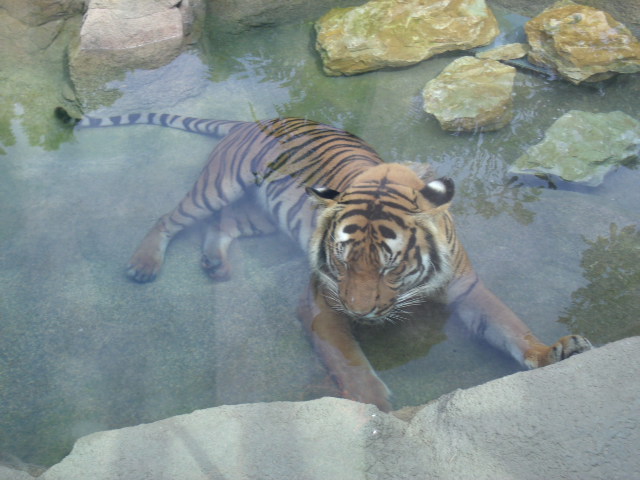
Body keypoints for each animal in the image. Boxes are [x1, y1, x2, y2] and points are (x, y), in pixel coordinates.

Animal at [56, 107, 592, 412]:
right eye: (342, 257)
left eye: (389, 263)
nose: (358, 310)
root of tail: (254, 120)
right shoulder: (319, 305)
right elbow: (351, 362)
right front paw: (373, 408)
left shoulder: (467, 289)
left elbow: (509, 327)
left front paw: (554, 352)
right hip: (218, 186)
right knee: (171, 216)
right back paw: (144, 263)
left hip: (262, 214)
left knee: (222, 225)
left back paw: (215, 264)